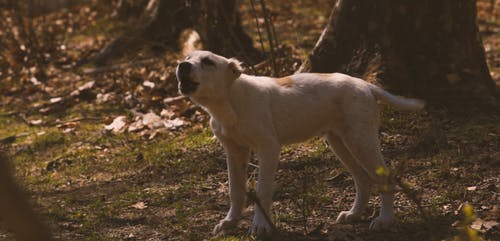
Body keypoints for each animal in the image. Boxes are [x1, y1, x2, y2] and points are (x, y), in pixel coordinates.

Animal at [176, 50, 426, 235]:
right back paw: (353, 215)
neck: (229, 102)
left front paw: (260, 226)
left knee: (385, 177)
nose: (182, 66)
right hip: (340, 141)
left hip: (361, 139)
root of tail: (366, 85)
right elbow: (235, 190)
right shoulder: (234, 151)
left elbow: (262, 190)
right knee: (362, 179)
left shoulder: (268, 148)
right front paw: (230, 223)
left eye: (208, 62)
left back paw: (385, 220)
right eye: (188, 57)